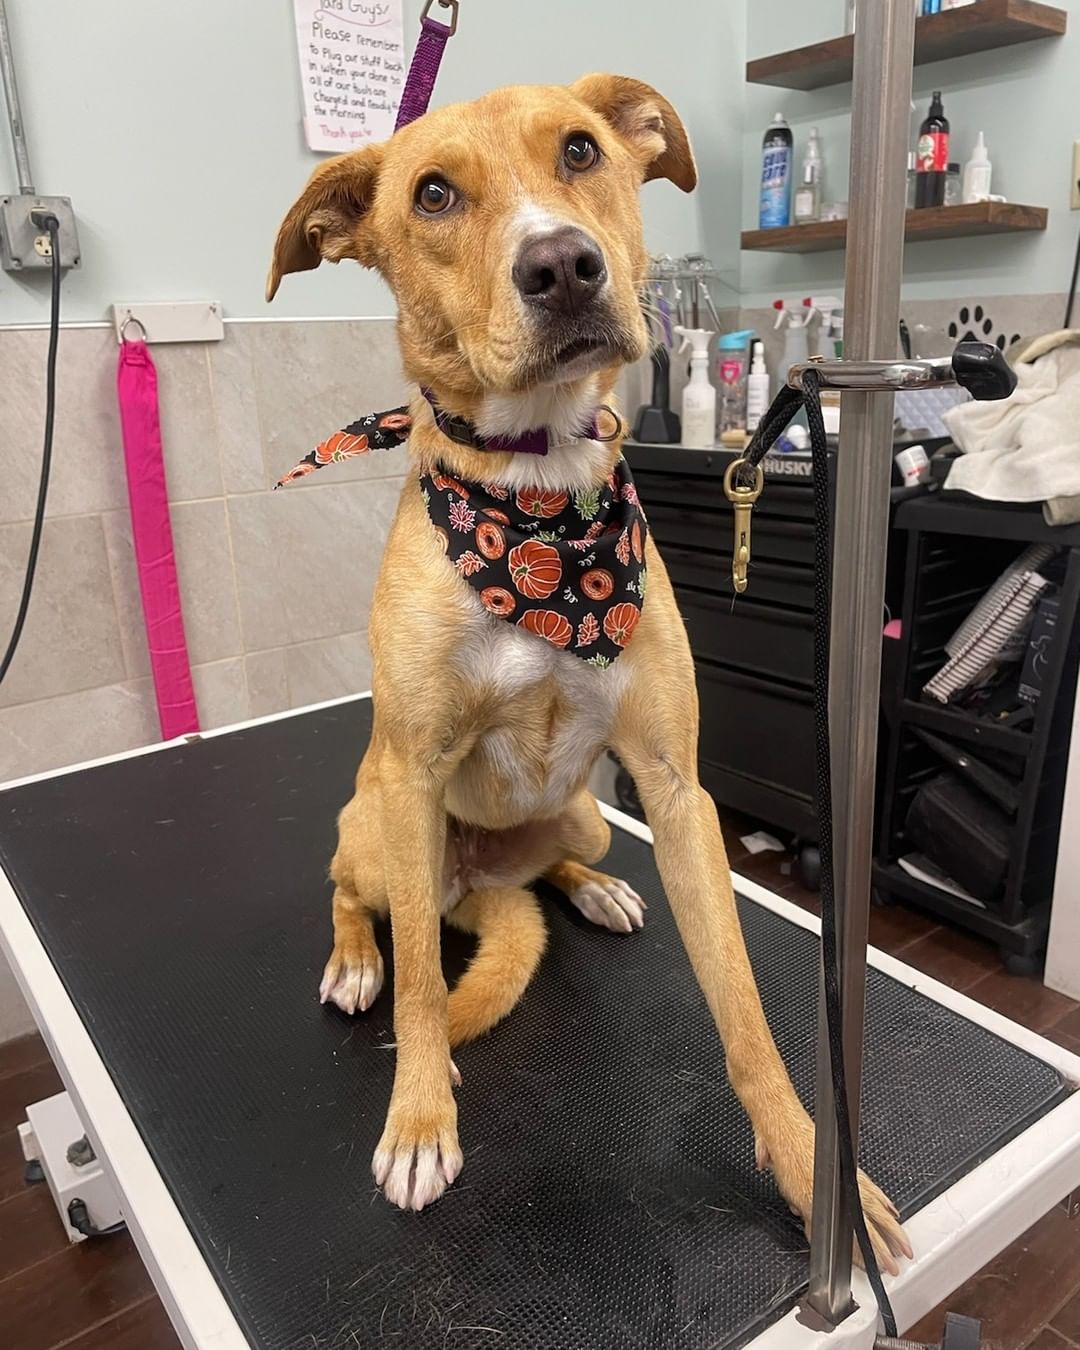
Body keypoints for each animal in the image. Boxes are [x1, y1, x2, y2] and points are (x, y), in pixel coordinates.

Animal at [270, 76, 912, 1274]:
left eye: (580, 150)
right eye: (432, 194)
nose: (564, 266)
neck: (537, 507)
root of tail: (479, 885)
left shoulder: (672, 786)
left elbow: (745, 1010)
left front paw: (815, 1173)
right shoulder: (414, 777)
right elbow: (424, 988)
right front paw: (419, 1119)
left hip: (586, 816)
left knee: (556, 867)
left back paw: (596, 889)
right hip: (379, 831)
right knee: (357, 902)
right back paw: (353, 961)